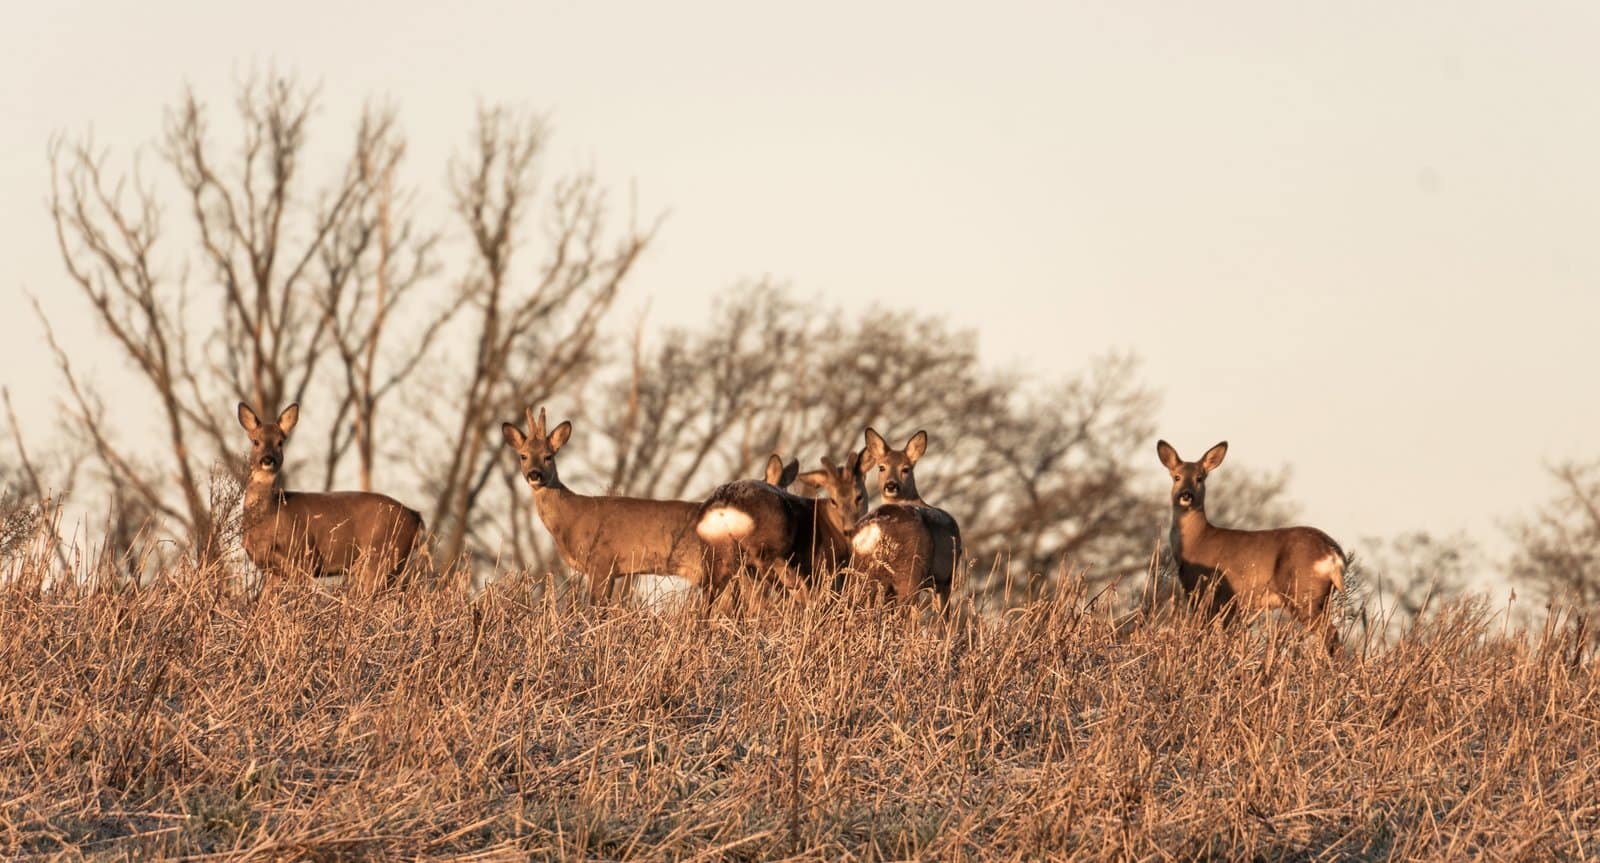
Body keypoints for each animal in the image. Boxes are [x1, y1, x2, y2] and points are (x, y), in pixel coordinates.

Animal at [237, 403, 426, 588]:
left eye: (280, 442)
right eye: (256, 441)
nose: (268, 459)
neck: (270, 514)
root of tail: (415, 516)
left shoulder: (304, 558)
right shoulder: (271, 569)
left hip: (383, 556)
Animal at [502, 407, 709, 602]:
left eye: (548, 456)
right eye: (523, 456)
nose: (534, 474)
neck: (571, 518)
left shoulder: (602, 561)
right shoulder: (613, 571)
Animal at [695, 450, 869, 595]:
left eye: (859, 497)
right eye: (834, 500)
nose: (850, 528)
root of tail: (724, 504)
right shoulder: (823, 563)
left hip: (716, 554)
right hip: (768, 541)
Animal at [849, 428, 962, 603]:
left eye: (906, 468)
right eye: (881, 467)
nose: (891, 485)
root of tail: (876, 529)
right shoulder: (946, 577)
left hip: (860, 573)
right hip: (910, 572)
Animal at [1156, 440, 1349, 654]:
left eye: (1199, 478)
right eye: (1177, 477)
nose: (1186, 495)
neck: (1197, 540)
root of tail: (1333, 553)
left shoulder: (1207, 593)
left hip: (1302, 592)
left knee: (1330, 632)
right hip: (1323, 597)